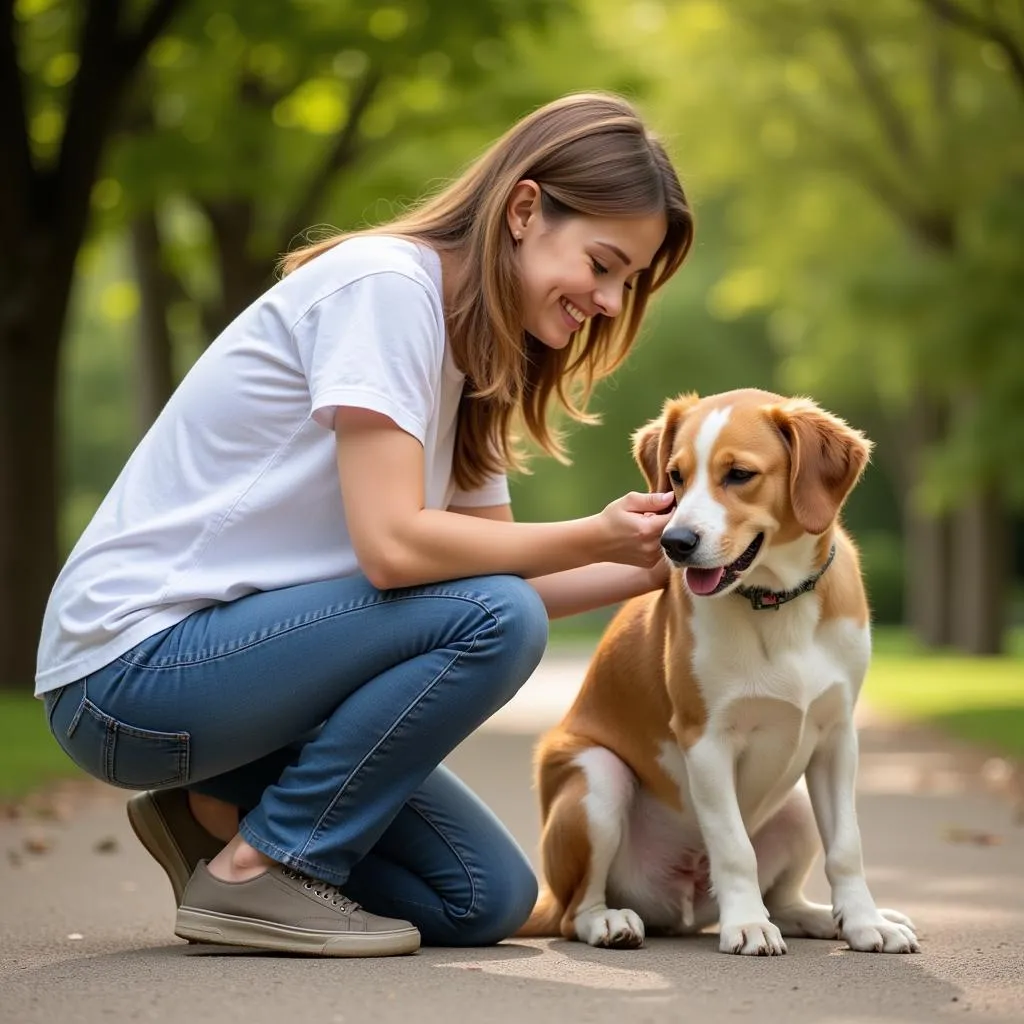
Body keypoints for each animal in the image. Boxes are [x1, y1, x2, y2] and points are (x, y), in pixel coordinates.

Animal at [520, 387, 921, 954]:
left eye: (738, 474)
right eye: (676, 476)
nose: (674, 542)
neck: (776, 602)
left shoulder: (838, 736)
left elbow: (846, 845)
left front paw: (865, 923)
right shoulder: (706, 739)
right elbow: (734, 848)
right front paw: (747, 924)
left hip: (797, 803)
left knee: (786, 898)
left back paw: (823, 918)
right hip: (598, 778)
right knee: (574, 911)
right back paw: (610, 921)